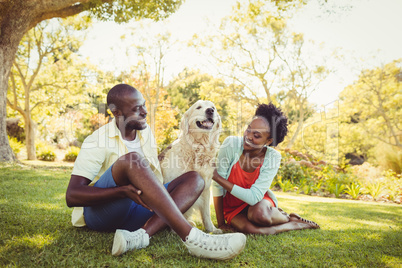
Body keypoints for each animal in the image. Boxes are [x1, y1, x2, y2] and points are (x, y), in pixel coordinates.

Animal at [159, 99, 223, 233]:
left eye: (213, 107)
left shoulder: (206, 187)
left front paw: (212, 229)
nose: (210, 111)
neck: (198, 149)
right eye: (198, 107)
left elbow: (206, 213)